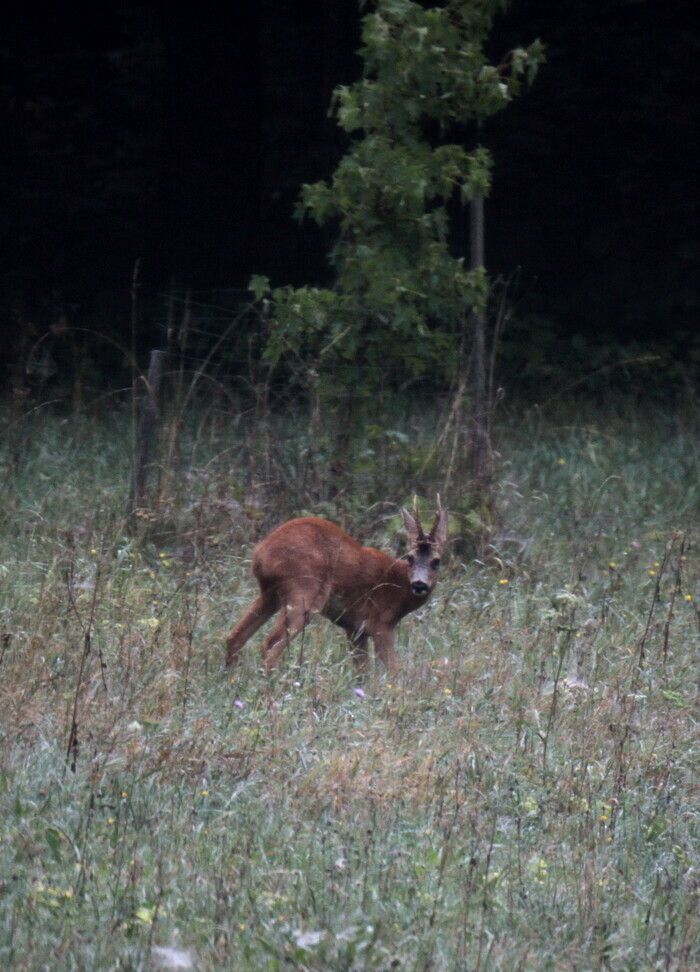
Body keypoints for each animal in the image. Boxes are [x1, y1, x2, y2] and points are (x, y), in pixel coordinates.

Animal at [224, 504, 448, 672]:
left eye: (436, 561)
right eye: (410, 557)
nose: (419, 584)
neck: (398, 588)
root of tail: (261, 552)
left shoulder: (356, 629)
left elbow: (362, 672)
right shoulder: (381, 624)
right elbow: (395, 670)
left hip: (271, 593)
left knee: (234, 637)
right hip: (304, 591)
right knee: (269, 646)